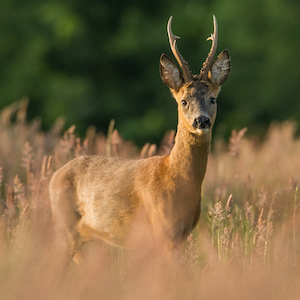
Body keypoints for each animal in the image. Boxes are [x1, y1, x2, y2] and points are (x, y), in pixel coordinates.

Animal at [49, 15, 230, 262]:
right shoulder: (162, 230)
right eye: (183, 101)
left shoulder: (182, 234)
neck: (177, 178)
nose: (201, 121)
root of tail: (52, 178)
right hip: (65, 228)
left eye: (213, 99)